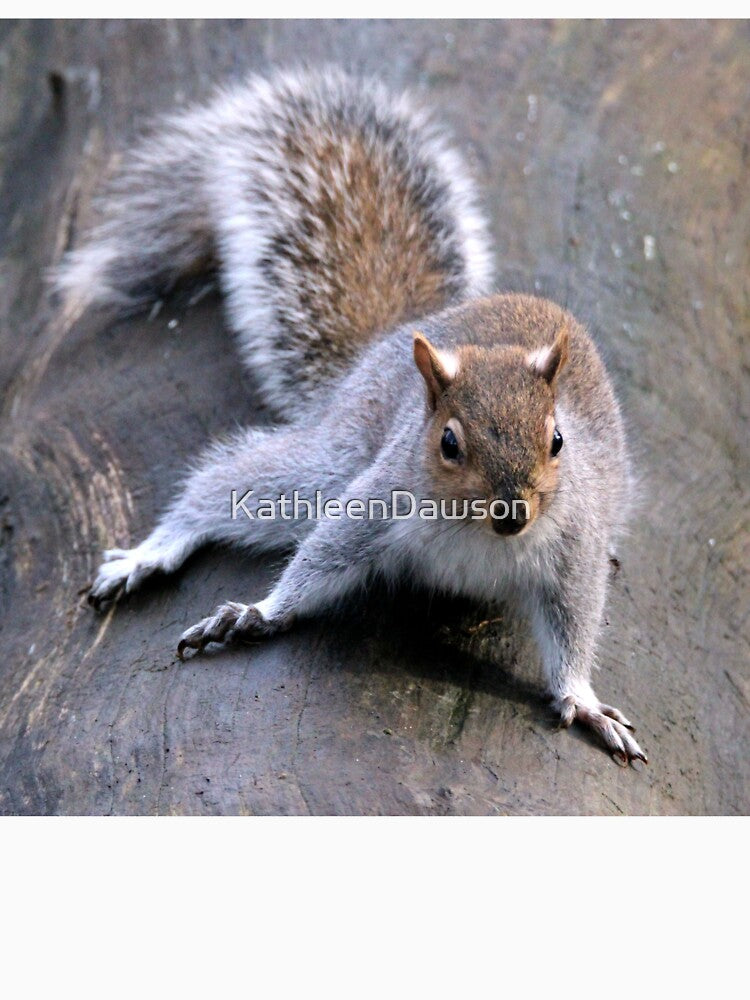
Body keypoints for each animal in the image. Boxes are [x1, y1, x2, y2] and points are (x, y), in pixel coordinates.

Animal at [56, 66, 647, 765]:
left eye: (557, 440)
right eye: (448, 443)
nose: (513, 514)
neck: (477, 535)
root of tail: (400, 336)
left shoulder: (574, 543)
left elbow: (574, 624)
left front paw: (583, 701)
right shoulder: (378, 499)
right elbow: (322, 553)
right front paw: (260, 613)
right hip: (340, 450)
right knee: (228, 484)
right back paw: (150, 554)